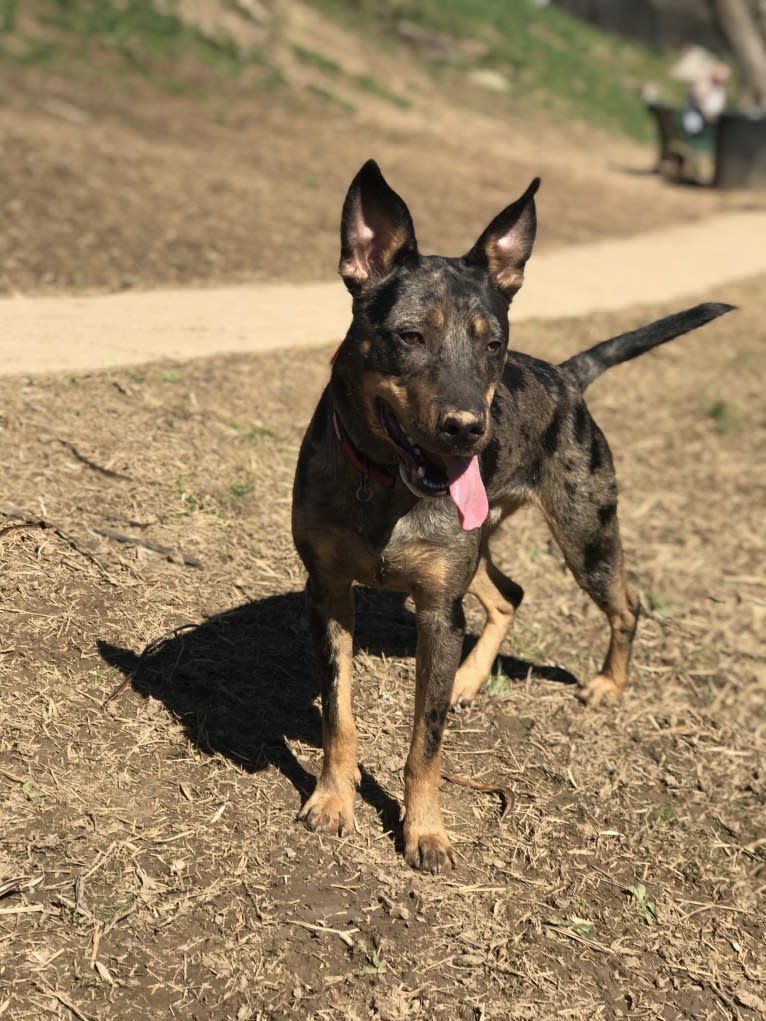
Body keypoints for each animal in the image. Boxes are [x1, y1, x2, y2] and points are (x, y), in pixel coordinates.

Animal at [292, 155, 731, 873]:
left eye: (493, 343)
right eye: (409, 335)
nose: (469, 428)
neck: (383, 484)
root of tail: (568, 376)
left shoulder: (438, 609)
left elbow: (425, 743)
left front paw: (425, 830)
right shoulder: (329, 590)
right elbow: (339, 713)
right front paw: (333, 799)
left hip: (585, 534)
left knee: (625, 604)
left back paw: (607, 685)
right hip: (481, 546)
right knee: (510, 594)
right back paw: (470, 680)